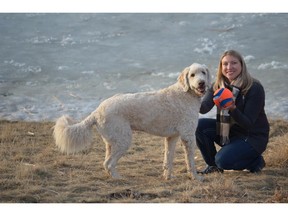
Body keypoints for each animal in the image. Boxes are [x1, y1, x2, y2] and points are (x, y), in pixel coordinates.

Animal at [54, 62, 210, 181]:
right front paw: (196, 178)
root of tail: (96, 112)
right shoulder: (188, 136)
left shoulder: (172, 137)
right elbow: (190, 161)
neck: (186, 93)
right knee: (108, 163)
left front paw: (168, 176)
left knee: (106, 163)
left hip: (112, 141)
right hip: (123, 140)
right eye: (192, 75)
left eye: (203, 72)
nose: (201, 83)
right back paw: (118, 178)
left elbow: (168, 159)